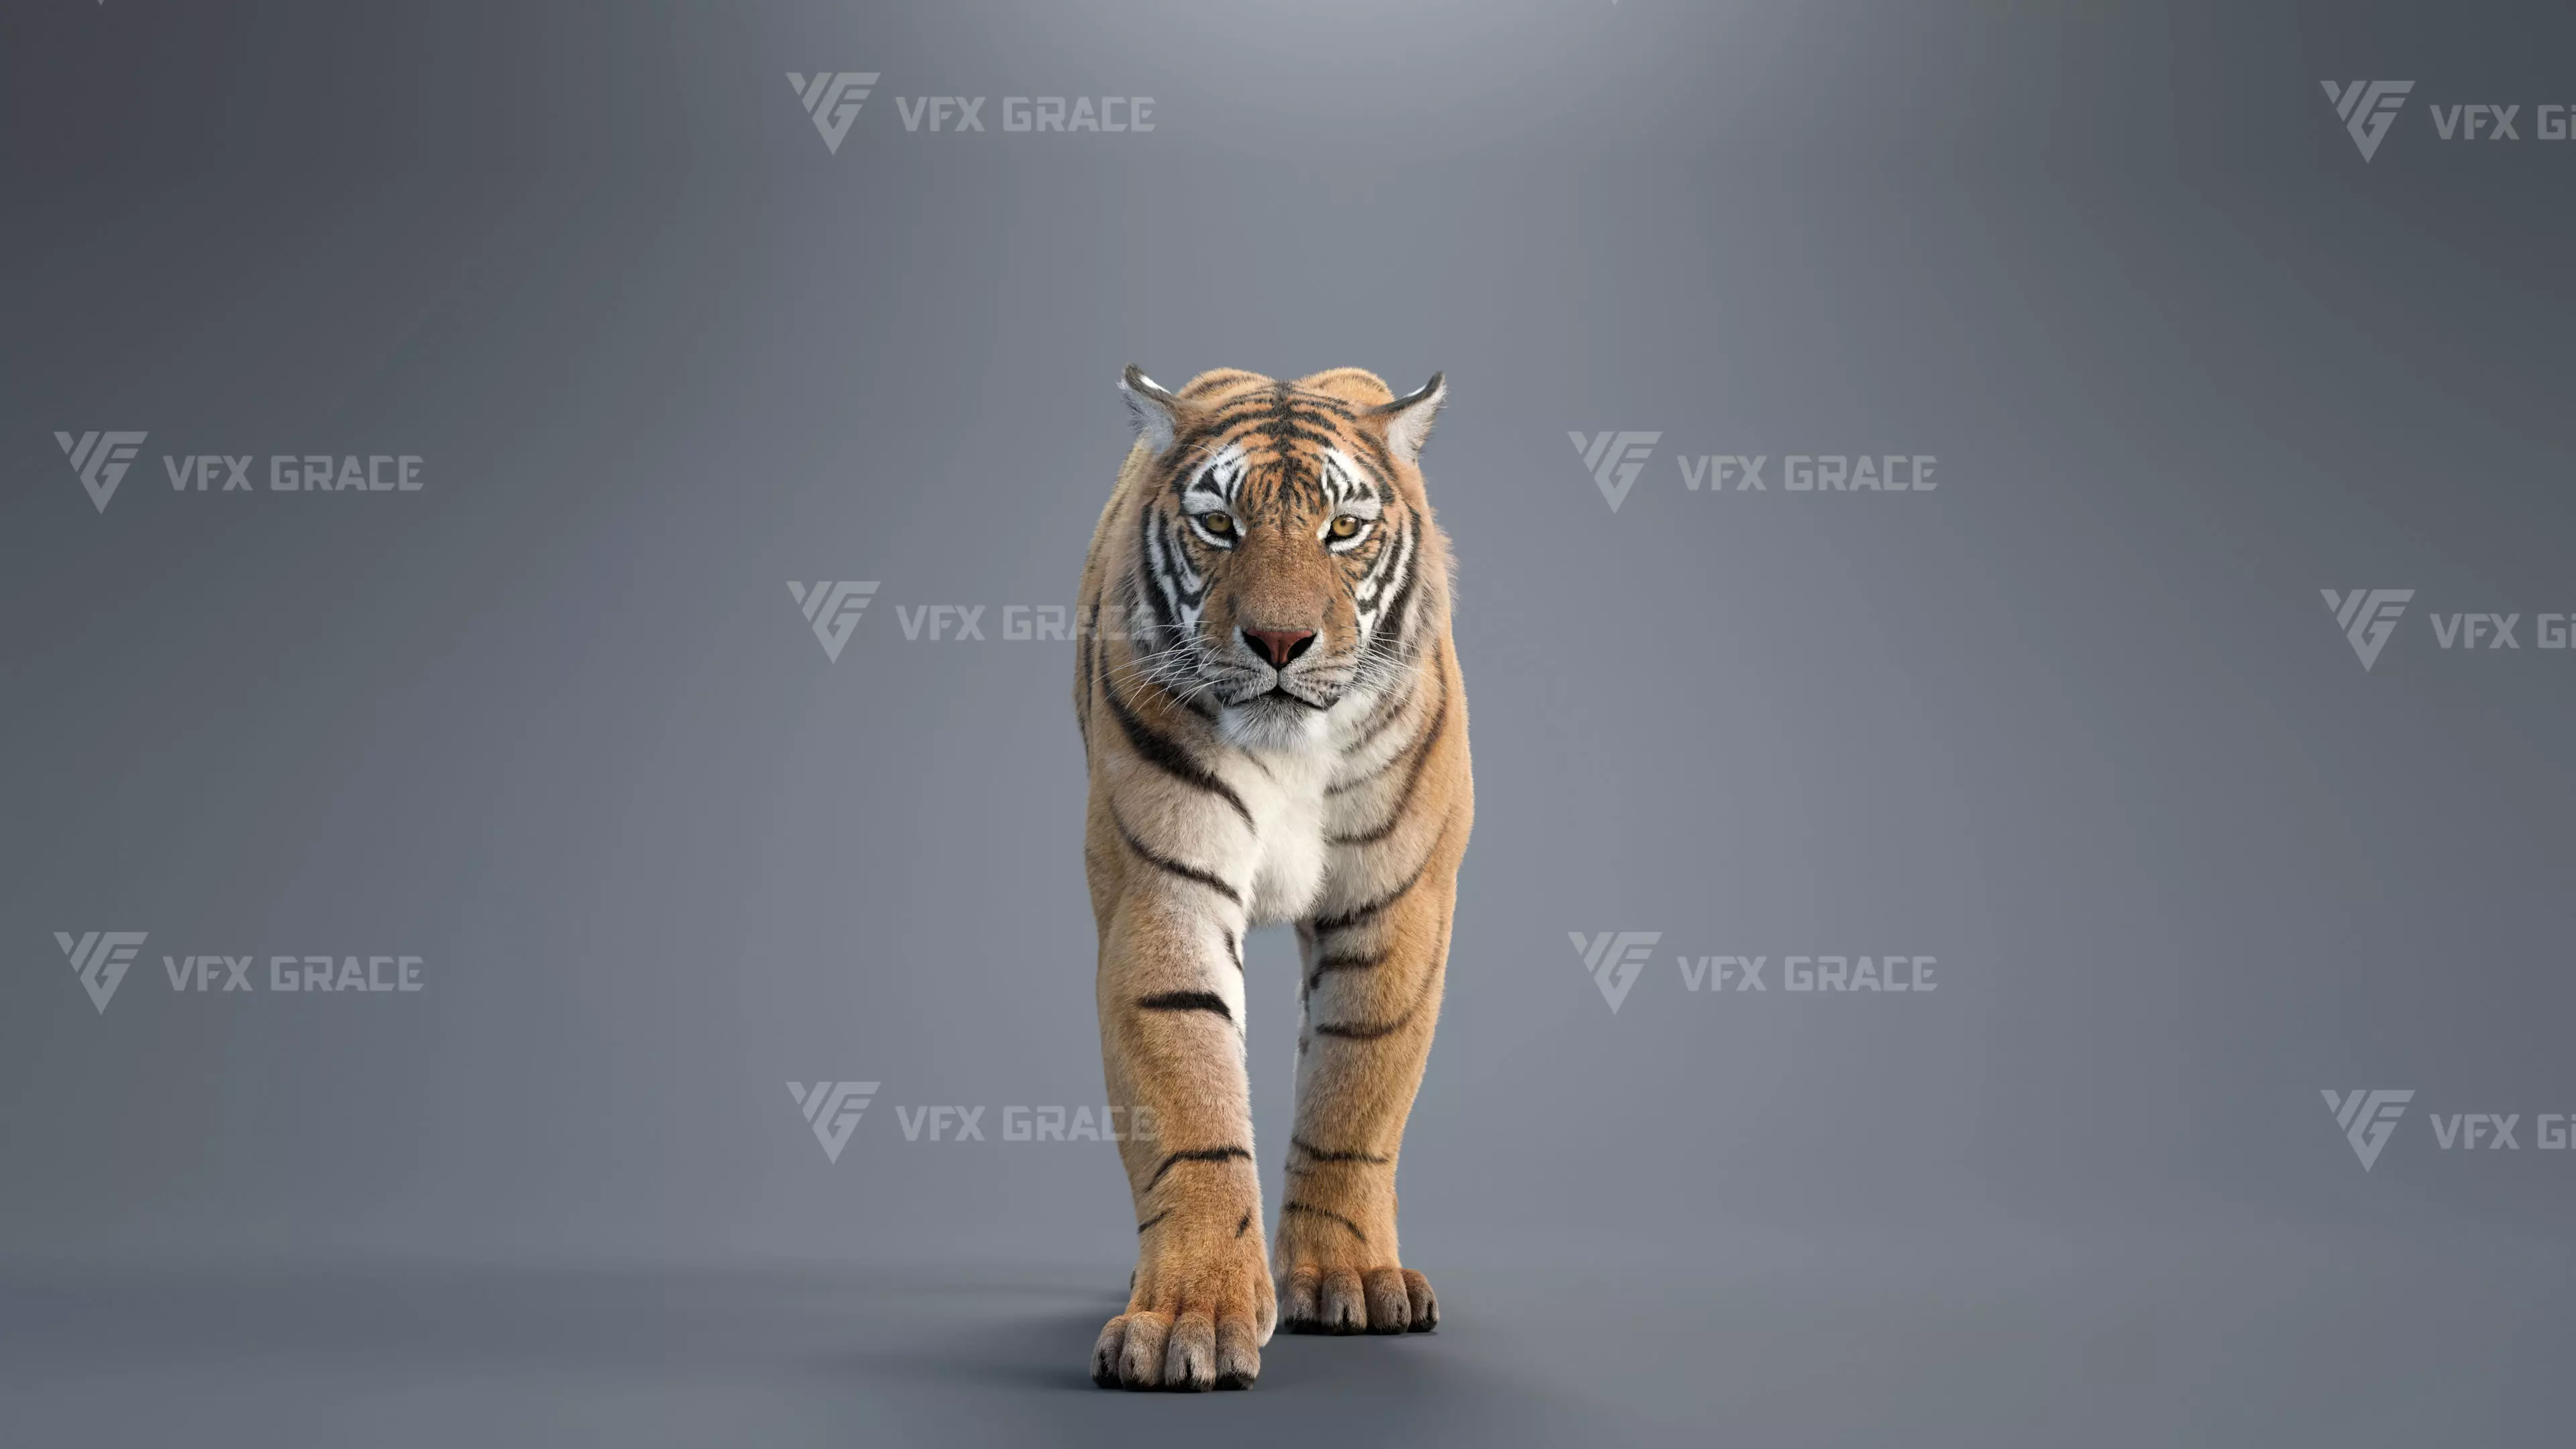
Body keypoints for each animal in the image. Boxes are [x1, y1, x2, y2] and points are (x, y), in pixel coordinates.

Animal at [1073, 364, 1472, 1391]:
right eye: (1221, 526)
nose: (1282, 642)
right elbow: (1192, 1108)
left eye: (1344, 529)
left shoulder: (1392, 906)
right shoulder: (1163, 893)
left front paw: (1350, 1279)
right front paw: (1189, 1316)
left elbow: (1354, 1093)